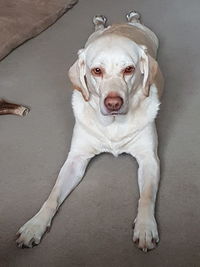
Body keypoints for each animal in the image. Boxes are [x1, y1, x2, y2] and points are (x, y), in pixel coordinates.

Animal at [16, 11, 164, 253]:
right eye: (97, 71)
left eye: (129, 69)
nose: (113, 103)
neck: (113, 124)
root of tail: (120, 25)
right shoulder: (75, 160)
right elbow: (53, 195)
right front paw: (35, 225)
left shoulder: (149, 159)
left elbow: (147, 197)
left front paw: (145, 227)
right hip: (91, 38)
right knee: (99, 28)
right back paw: (101, 20)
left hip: (152, 36)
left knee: (135, 21)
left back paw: (133, 16)